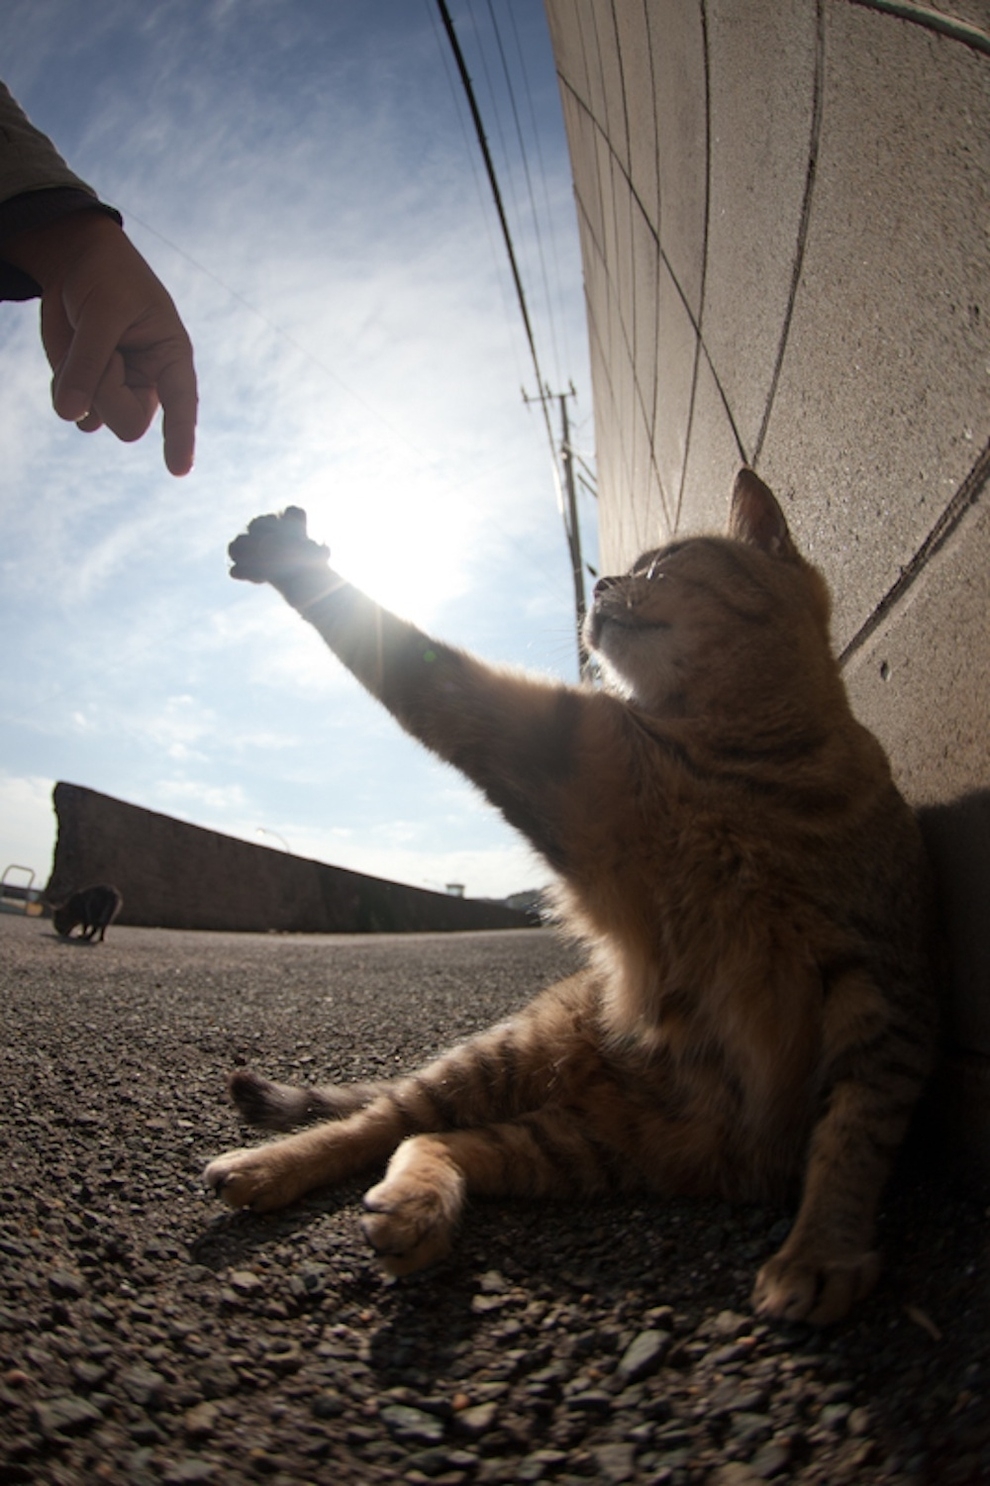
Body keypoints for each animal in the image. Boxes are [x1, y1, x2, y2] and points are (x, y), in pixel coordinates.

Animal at [208, 472, 933, 1325]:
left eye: (665, 561)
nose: (603, 579)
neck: (744, 766)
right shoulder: (558, 749)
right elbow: (412, 661)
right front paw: (296, 563)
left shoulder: (884, 991)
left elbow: (855, 1134)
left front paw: (822, 1247)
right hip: (507, 1060)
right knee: (380, 1120)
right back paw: (270, 1168)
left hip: (591, 1146)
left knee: (433, 1140)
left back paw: (415, 1207)